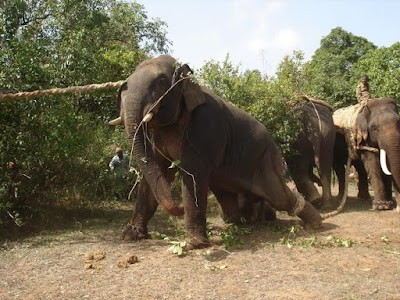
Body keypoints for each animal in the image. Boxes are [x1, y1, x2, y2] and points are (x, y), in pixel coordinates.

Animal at [108, 55, 324, 250]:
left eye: (161, 81)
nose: (179, 207)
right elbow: (155, 174)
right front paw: (130, 236)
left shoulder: (205, 126)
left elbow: (193, 176)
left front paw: (194, 245)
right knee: (233, 207)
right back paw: (247, 221)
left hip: (265, 160)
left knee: (279, 196)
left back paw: (316, 224)